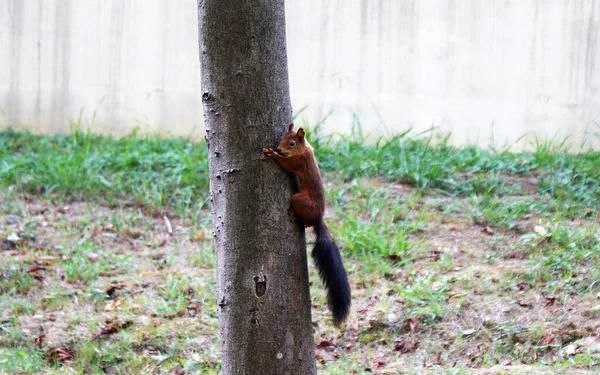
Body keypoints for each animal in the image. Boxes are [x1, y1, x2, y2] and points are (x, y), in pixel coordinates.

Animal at [264, 123, 352, 326]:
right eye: (282, 137)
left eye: (292, 143)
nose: (279, 148)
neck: (304, 149)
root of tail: (318, 218)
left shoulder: (297, 162)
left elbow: (285, 164)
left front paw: (272, 154)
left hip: (299, 199)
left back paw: (296, 218)